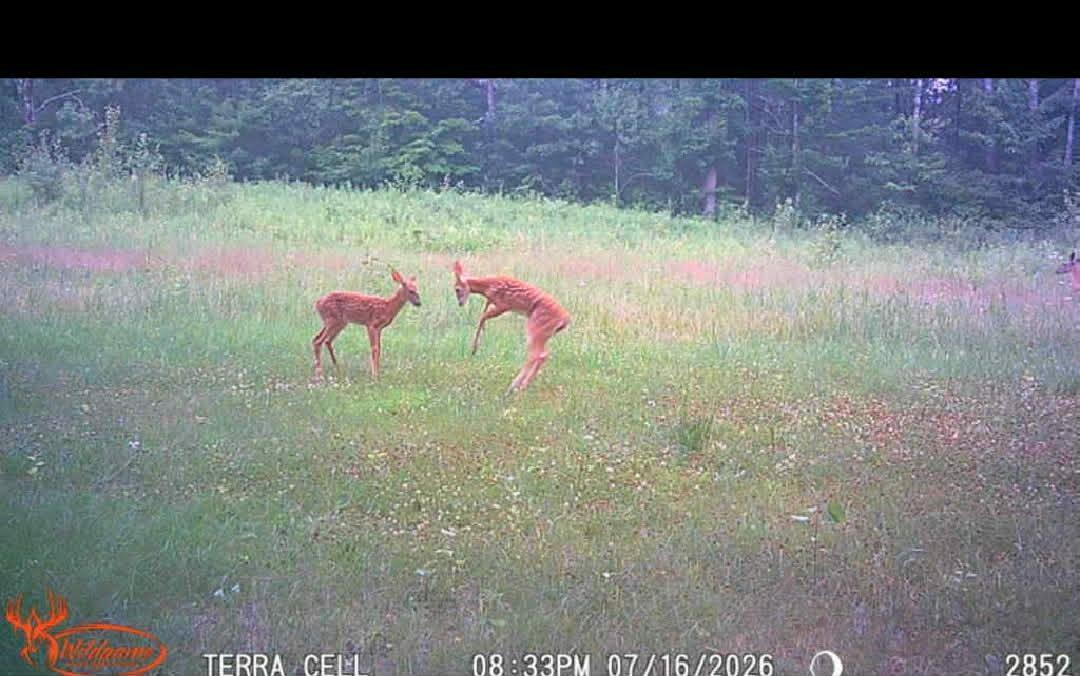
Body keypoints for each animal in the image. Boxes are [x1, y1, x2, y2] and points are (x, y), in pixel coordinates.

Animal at [453, 260, 571, 394]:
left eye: (457, 289)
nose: (460, 303)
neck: (488, 286)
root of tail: (565, 320)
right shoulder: (492, 302)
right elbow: (484, 311)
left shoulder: (503, 305)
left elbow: (482, 316)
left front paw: (474, 349)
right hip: (545, 333)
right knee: (544, 354)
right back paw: (522, 385)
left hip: (536, 328)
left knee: (536, 355)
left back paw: (514, 386)